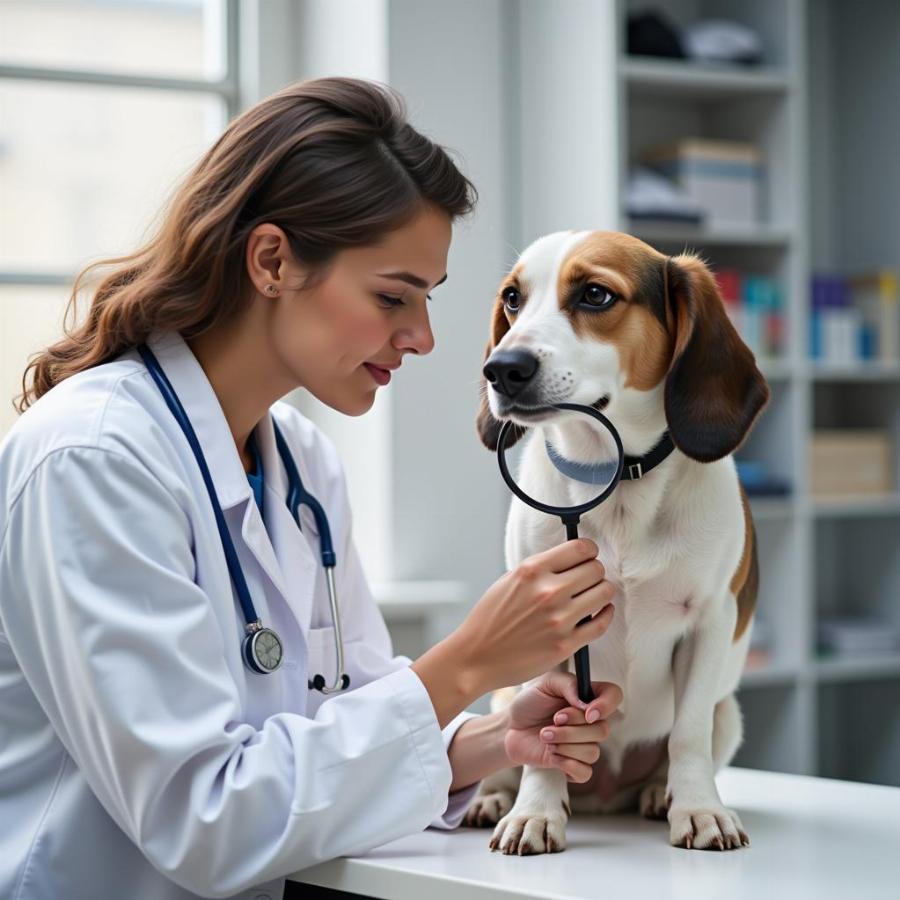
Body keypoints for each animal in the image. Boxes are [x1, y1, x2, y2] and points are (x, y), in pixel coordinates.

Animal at [468, 230, 768, 852]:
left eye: (595, 294)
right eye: (513, 298)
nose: (501, 368)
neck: (617, 481)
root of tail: (602, 797)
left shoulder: (709, 623)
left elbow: (687, 734)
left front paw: (699, 810)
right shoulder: (543, 625)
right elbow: (542, 737)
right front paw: (535, 812)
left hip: (729, 714)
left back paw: (659, 795)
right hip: (503, 699)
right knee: (507, 747)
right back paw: (492, 798)